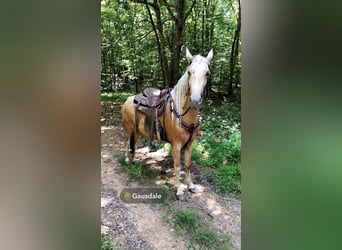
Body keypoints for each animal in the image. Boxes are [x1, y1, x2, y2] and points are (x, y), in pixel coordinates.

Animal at [121, 47, 212, 200]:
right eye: (189, 72)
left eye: (207, 73)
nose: (194, 100)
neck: (182, 114)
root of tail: (129, 99)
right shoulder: (176, 145)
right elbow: (177, 166)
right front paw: (180, 191)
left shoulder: (190, 144)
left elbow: (187, 165)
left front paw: (191, 186)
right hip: (128, 129)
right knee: (127, 142)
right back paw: (127, 159)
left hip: (139, 131)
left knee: (135, 143)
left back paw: (134, 160)